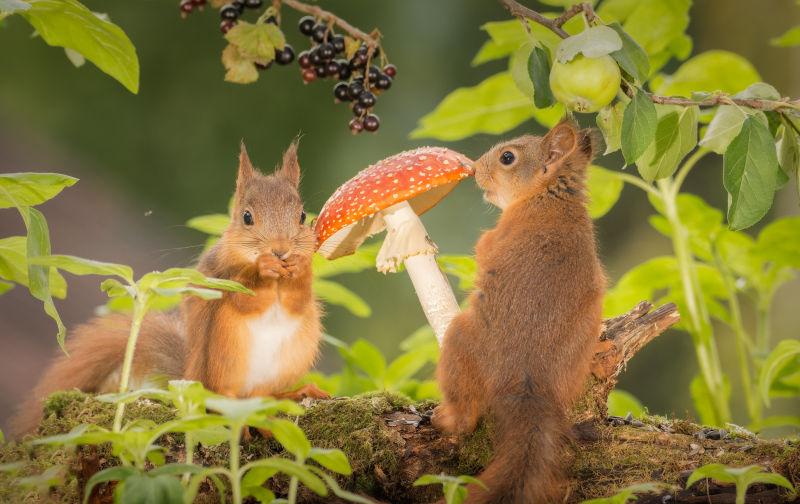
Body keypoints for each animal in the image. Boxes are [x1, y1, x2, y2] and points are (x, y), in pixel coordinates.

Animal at [434, 120, 604, 502]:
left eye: (507, 158)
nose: (474, 169)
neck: (548, 197)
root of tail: (525, 378)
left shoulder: (496, 237)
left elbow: (484, 247)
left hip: (458, 340)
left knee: (466, 416)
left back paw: (446, 418)